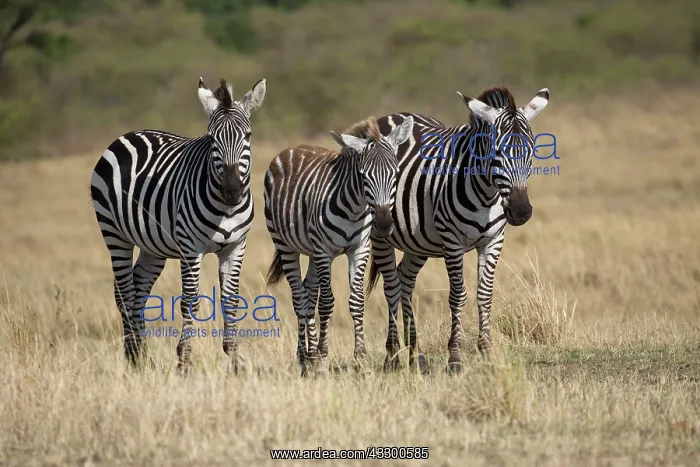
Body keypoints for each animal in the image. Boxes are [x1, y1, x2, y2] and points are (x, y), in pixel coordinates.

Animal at [89, 77, 267, 374]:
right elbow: (190, 300)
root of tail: (130, 134)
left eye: (248, 136)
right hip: (114, 234)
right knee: (124, 290)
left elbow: (231, 299)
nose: (232, 191)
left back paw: (142, 355)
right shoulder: (190, 248)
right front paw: (185, 361)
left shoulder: (235, 247)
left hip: (152, 246)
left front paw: (235, 359)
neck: (226, 209)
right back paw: (133, 356)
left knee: (139, 288)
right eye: (212, 139)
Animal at [263, 115, 414, 376]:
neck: (355, 208)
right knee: (299, 298)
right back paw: (305, 359)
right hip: (285, 245)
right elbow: (326, 303)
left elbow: (356, 301)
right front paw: (323, 358)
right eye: (363, 176)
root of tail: (290, 149)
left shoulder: (359, 249)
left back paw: (310, 357)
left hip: (311, 251)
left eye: (396, 174)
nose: (384, 225)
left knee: (308, 293)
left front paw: (361, 359)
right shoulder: (325, 252)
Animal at [366, 86, 550, 373]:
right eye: (496, 154)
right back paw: (392, 356)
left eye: (531, 153)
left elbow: (484, 294)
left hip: (418, 242)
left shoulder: (493, 240)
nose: (521, 212)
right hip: (380, 234)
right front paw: (454, 358)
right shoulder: (452, 240)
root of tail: (394, 115)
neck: (487, 193)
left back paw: (413, 353)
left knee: (405, 280)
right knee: (391, 287)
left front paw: (486, 352)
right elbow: (457, 296)